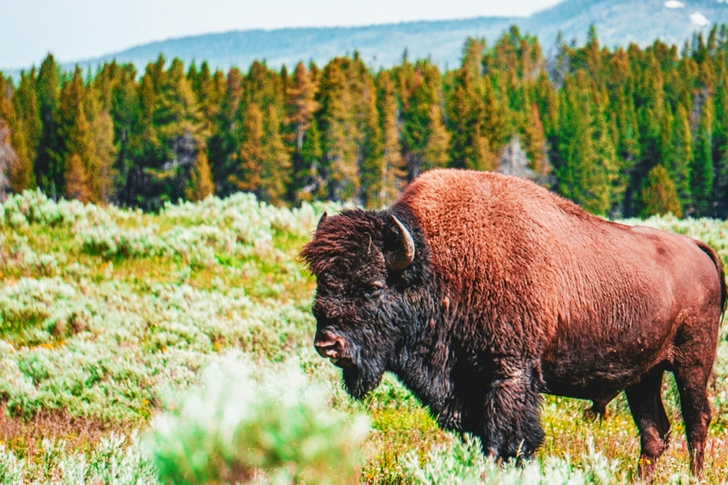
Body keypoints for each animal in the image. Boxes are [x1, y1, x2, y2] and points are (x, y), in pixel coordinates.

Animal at [301, 169, 725, 477]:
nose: (328, 344)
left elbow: (509, 439)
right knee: (654, 432)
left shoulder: (509, 373)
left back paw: (695, 476)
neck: (436, 265)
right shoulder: (466, 389)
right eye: (322, 281)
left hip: (692, 362)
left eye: (372, 286)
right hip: (644, 374)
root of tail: (698, 247)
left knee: (697, 419)